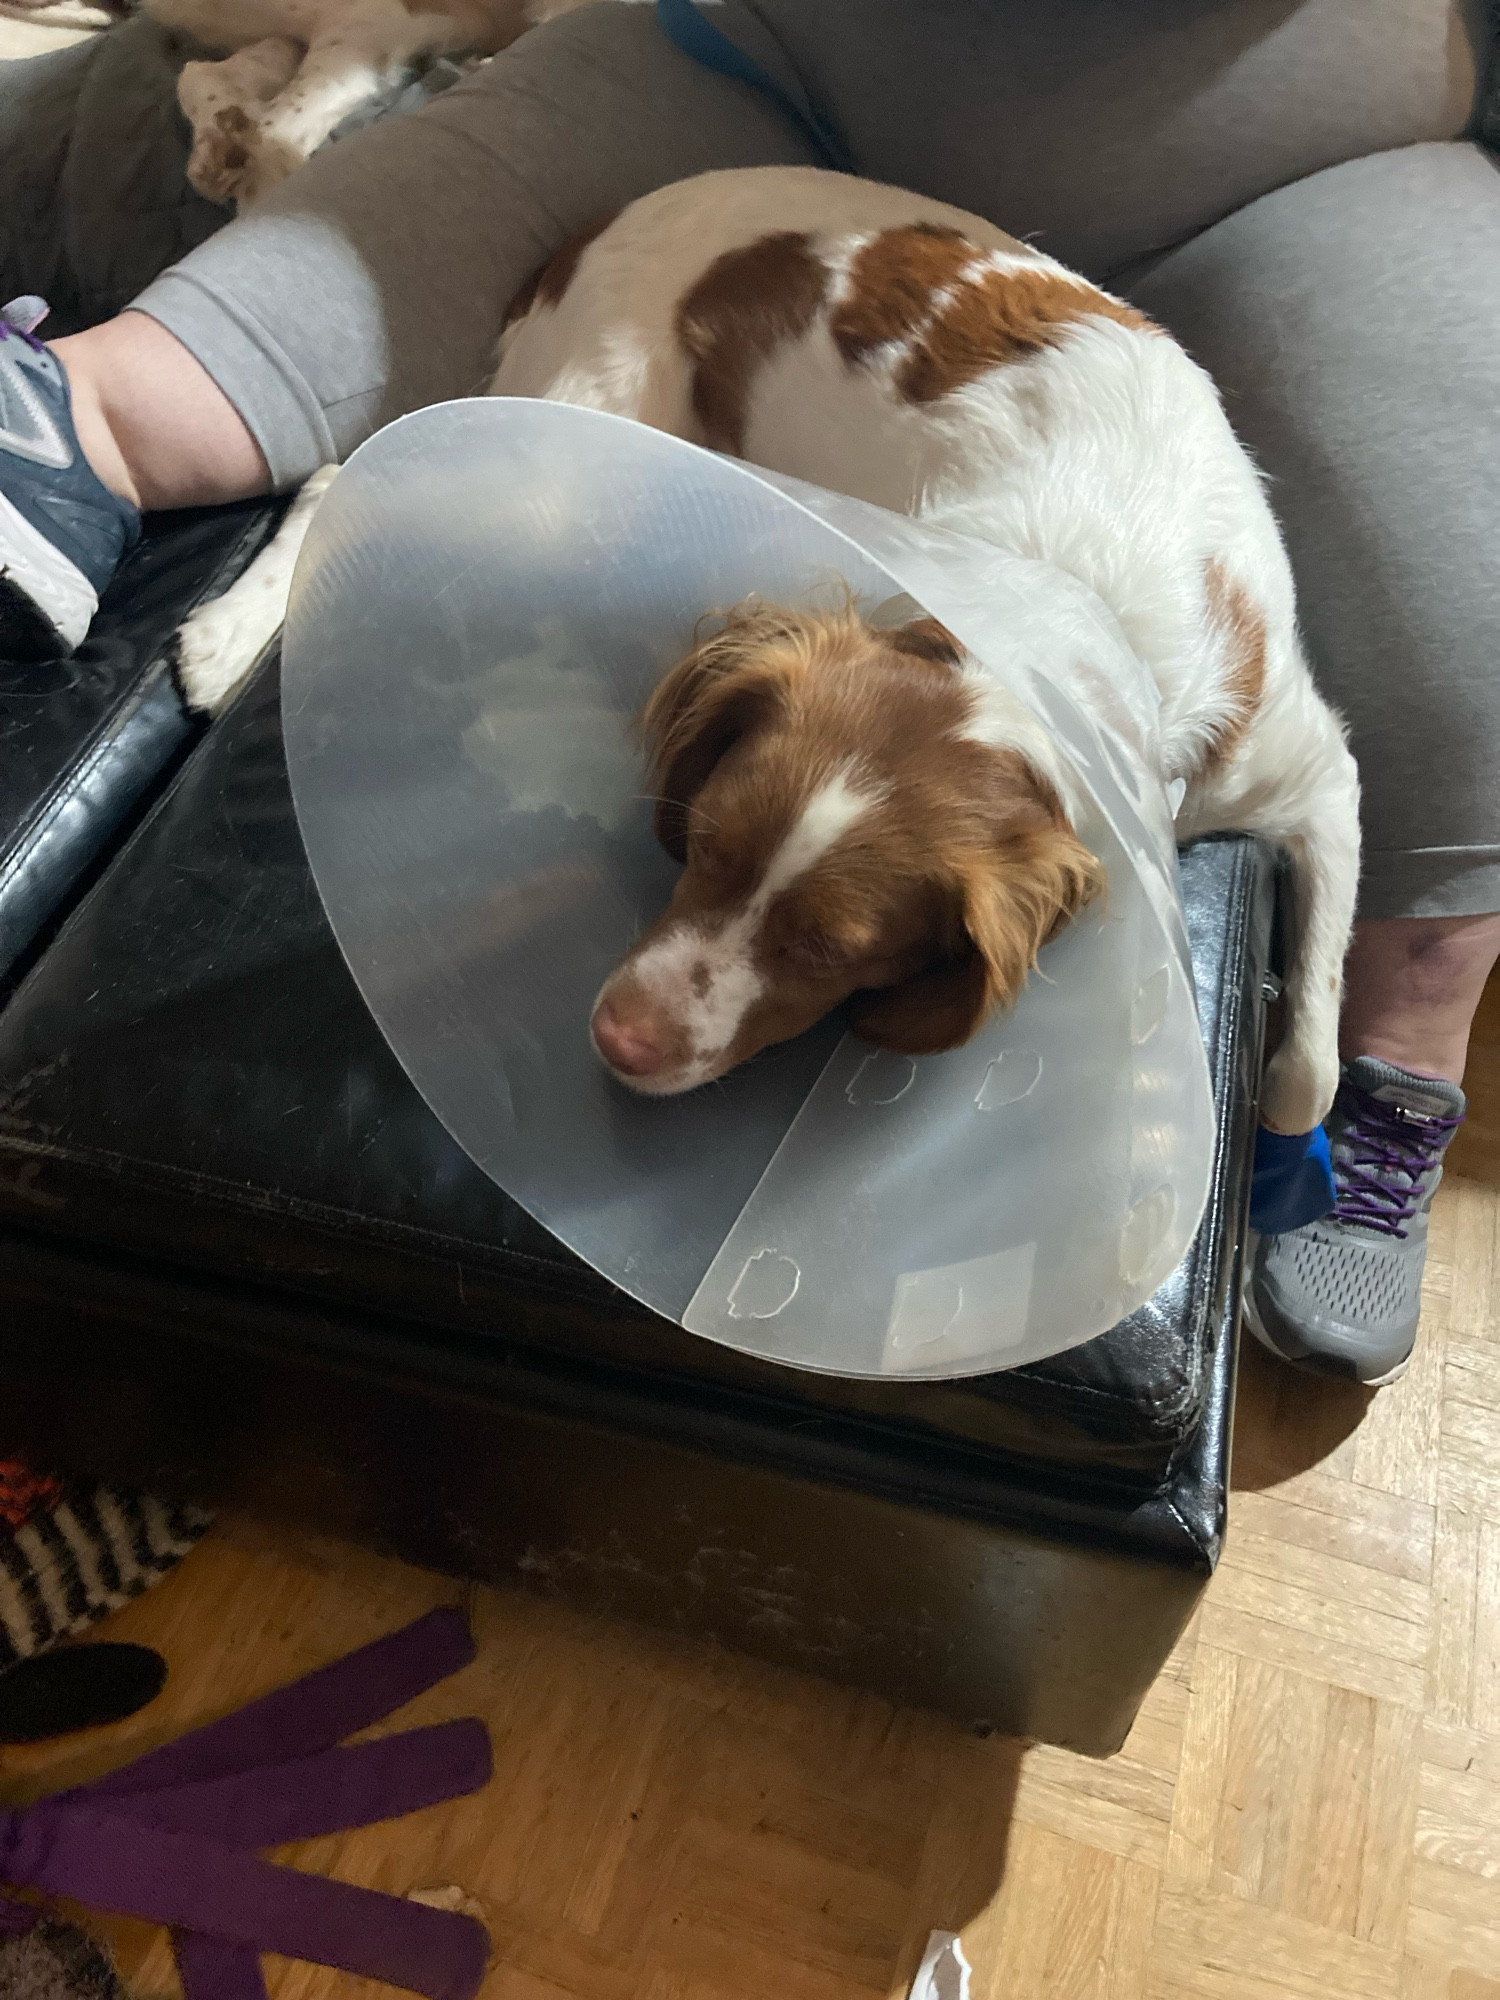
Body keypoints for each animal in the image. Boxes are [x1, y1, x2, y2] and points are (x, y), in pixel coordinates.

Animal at [188, 168, 1360, 1144]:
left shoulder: (1308, 774)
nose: (618, 1038)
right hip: (562, 460)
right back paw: (220, 639)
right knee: (343, 479)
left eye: (830, 951)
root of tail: (591, 227)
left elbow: (1309, 1067)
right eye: (703, 842)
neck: (1068, 609)